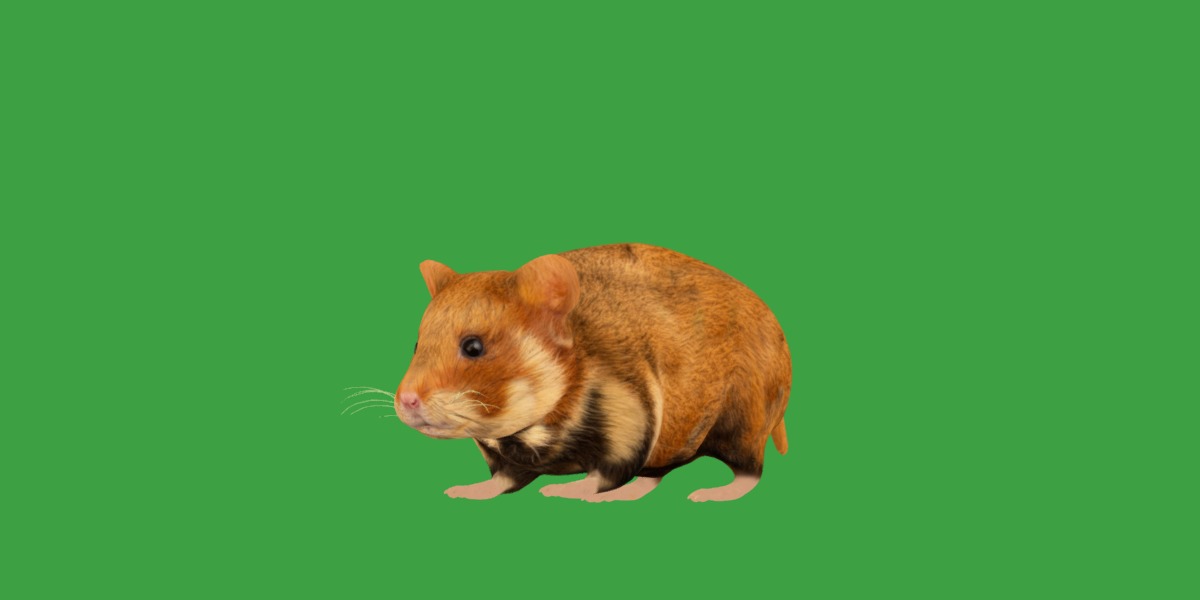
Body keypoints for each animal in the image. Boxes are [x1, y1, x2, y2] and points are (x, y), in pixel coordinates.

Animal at [394, 243, 791, 502]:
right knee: (655, 475)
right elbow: (503, 480)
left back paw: (707, 494)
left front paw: (562, 490)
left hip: (742, 421)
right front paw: (463, 490)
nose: (405, 401)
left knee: (749, 472)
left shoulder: (631, 422)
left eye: (473, 347)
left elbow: (603, 474)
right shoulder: (508, 460)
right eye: (416, 345)